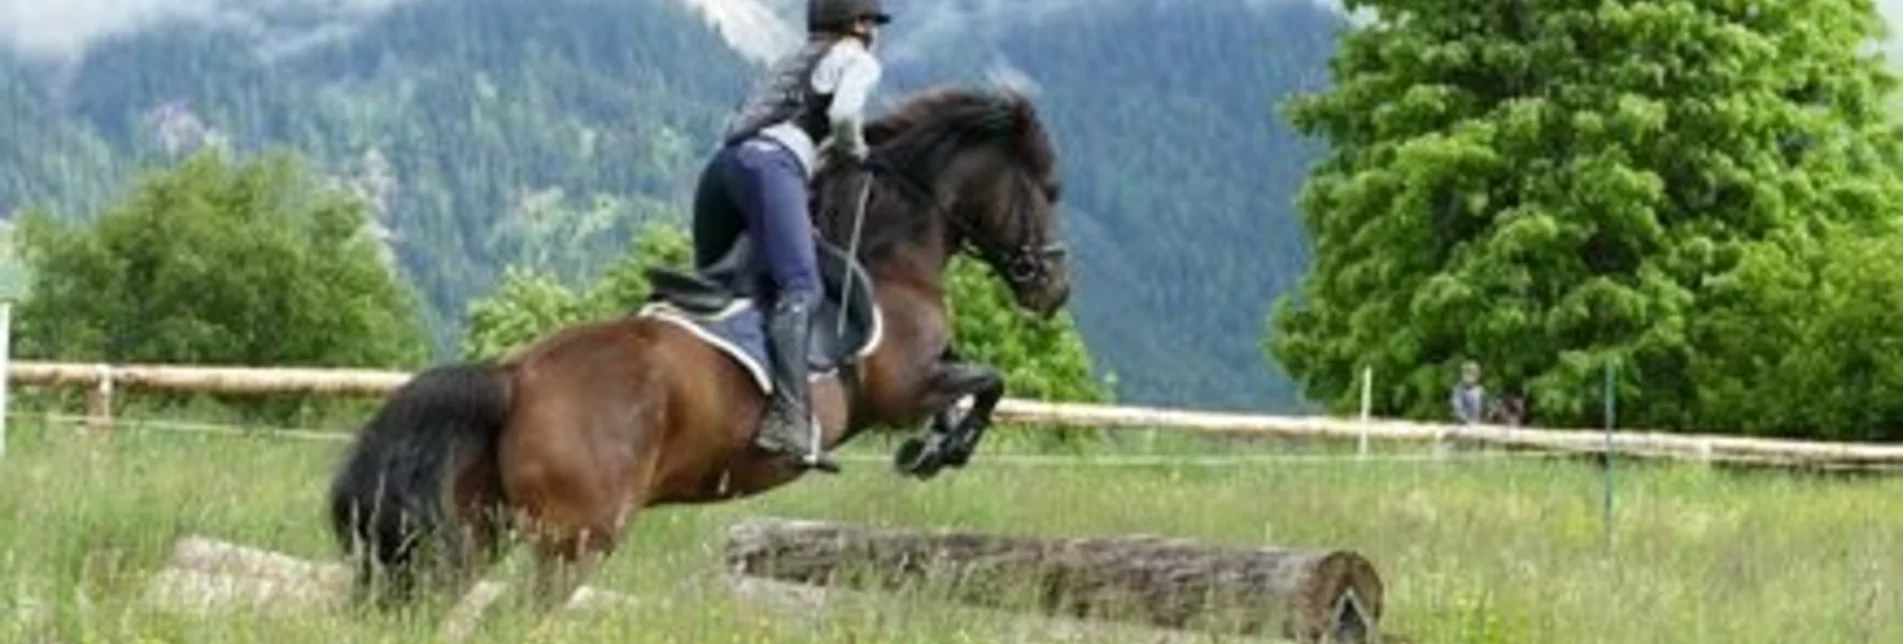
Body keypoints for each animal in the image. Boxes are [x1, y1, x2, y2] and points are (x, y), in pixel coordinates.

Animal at [325, 84, 1073, 613]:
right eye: (1049, 189)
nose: (1055, 288)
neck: (889, 256)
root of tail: (516, 375)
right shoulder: (900, 386)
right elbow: (989, 381)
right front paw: (935, 451)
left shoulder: (925, 375)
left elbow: (977, 383)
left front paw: (938, 443)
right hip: (578, 540)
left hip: (482, 529)